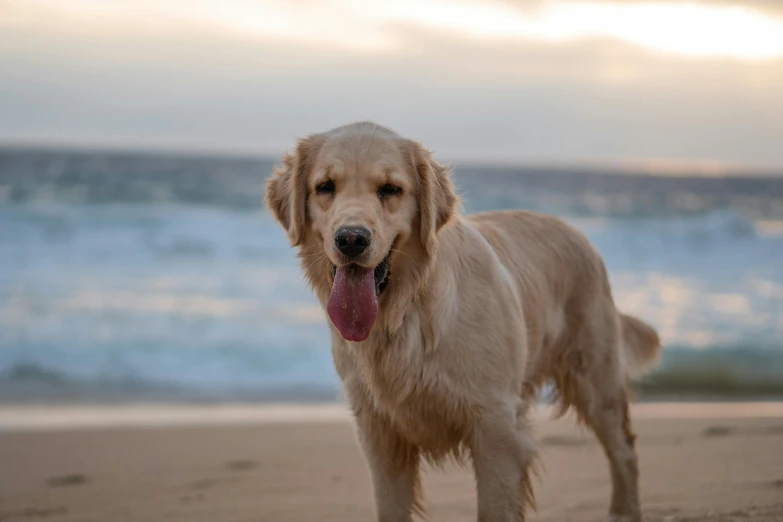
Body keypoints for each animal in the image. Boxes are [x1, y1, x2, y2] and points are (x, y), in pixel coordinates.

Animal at [264, 120, 660, 516]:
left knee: (624, 451)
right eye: (325, 187)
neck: (407, 310)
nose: (350, 239)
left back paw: (624, 511)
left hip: (595, 380)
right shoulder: (379, 434)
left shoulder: (497, 429)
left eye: (391, 189)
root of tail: (576, 230)